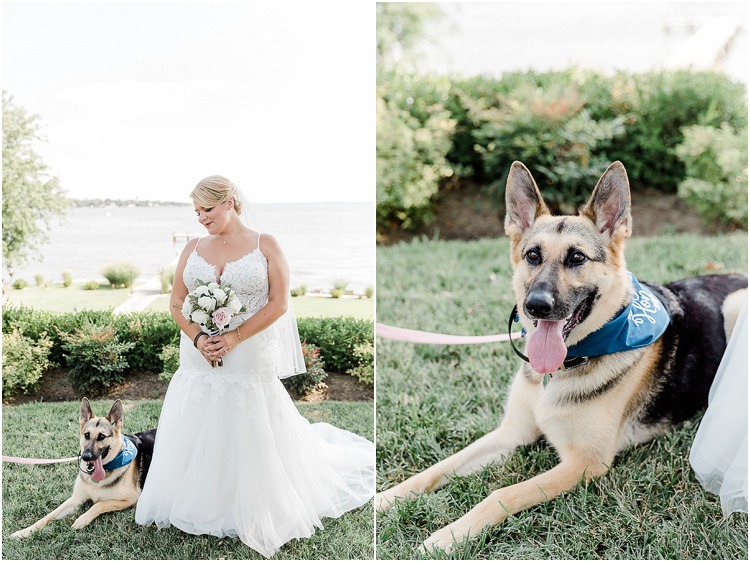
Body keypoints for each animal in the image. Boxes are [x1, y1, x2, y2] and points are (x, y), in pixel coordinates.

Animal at [12, 396, 156, 536]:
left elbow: (99, 504)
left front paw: (82, 519)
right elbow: (48, 516)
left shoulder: (131, 499)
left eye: (101, 437)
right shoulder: (75, 499)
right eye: (87, 435)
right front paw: (24, 532)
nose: (85, 456)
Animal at [378, 160, 748, 548]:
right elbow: (441, 466)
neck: (560, 370)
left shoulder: (585, 463)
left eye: (576, 257)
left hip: (737, 306)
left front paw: (448, 535)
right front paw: (386, 497)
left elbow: (502, 494)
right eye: (532, 255)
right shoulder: (511, 433)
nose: (536, 306)